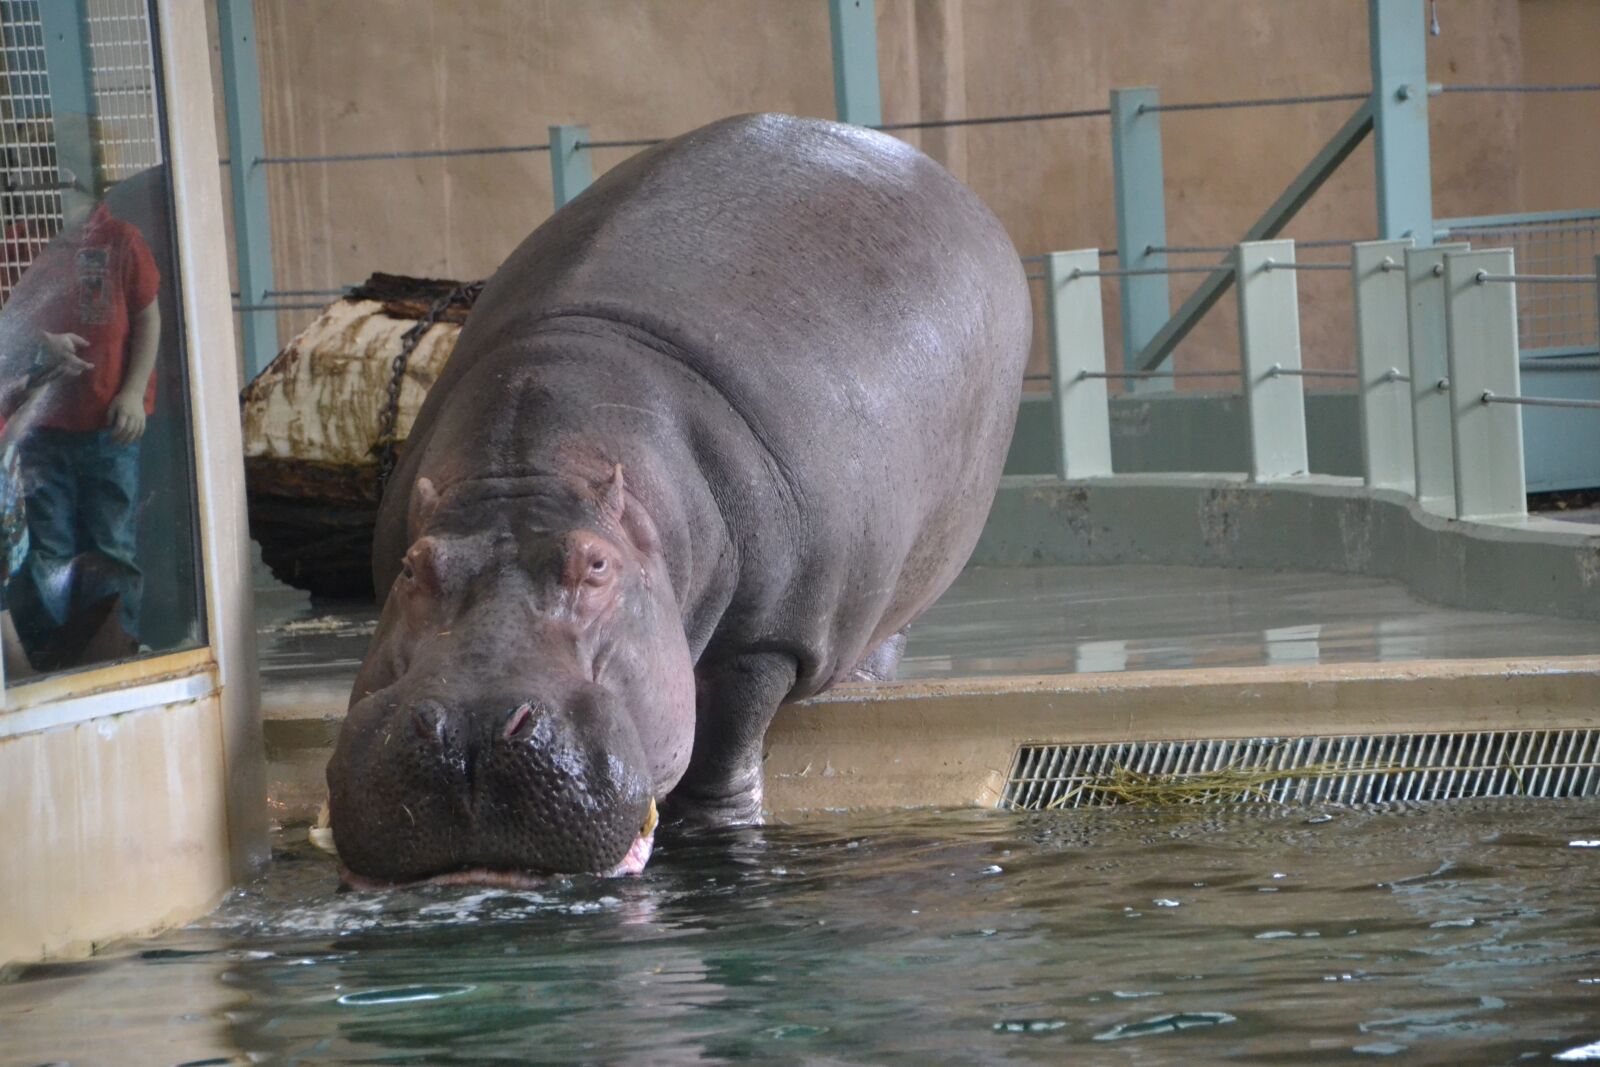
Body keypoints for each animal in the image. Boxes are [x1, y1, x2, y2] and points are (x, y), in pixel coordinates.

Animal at [326, 113, 1031, 888]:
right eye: (412, 567)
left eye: (597, 566)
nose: (468, 733)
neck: (535, 469)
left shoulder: (767, 635)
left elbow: (723, 751)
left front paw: (720, 828)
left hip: (912, 576)